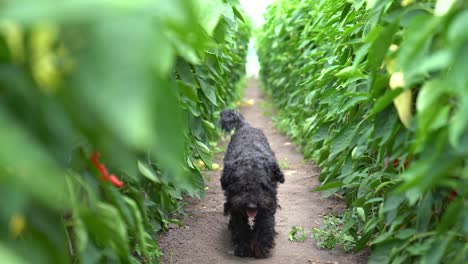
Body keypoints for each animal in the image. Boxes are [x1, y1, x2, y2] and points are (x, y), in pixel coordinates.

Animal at [220, 109, 286, 258]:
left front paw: (261, 247)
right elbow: (240, 226)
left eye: (263, 185)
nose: (251, 205)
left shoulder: (268, 204)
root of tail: (245, 125)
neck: (250, 156)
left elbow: (265, 224)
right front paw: (243, 247)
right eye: (240, 185)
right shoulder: (235, 205)